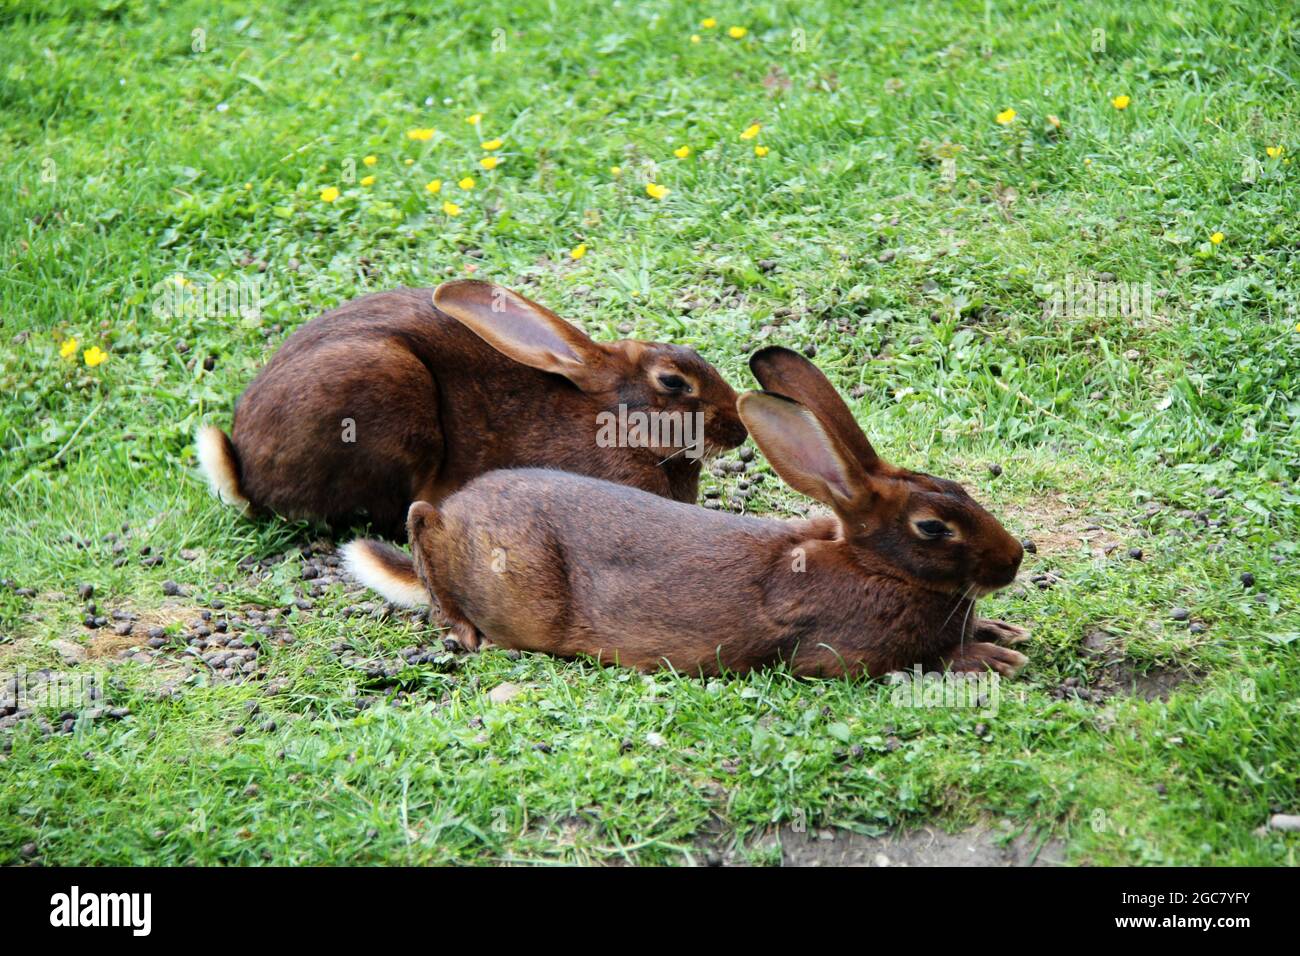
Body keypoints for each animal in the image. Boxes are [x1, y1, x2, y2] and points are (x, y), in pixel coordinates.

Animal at [343, 346, 1029, 678]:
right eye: (934, 528)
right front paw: (989, 660)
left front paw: (1002, 633)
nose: (1015, 561)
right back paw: (461, 628)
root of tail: (460, 512)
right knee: (422, 527)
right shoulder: (839, 654)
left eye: (962, 489)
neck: (873, 567)